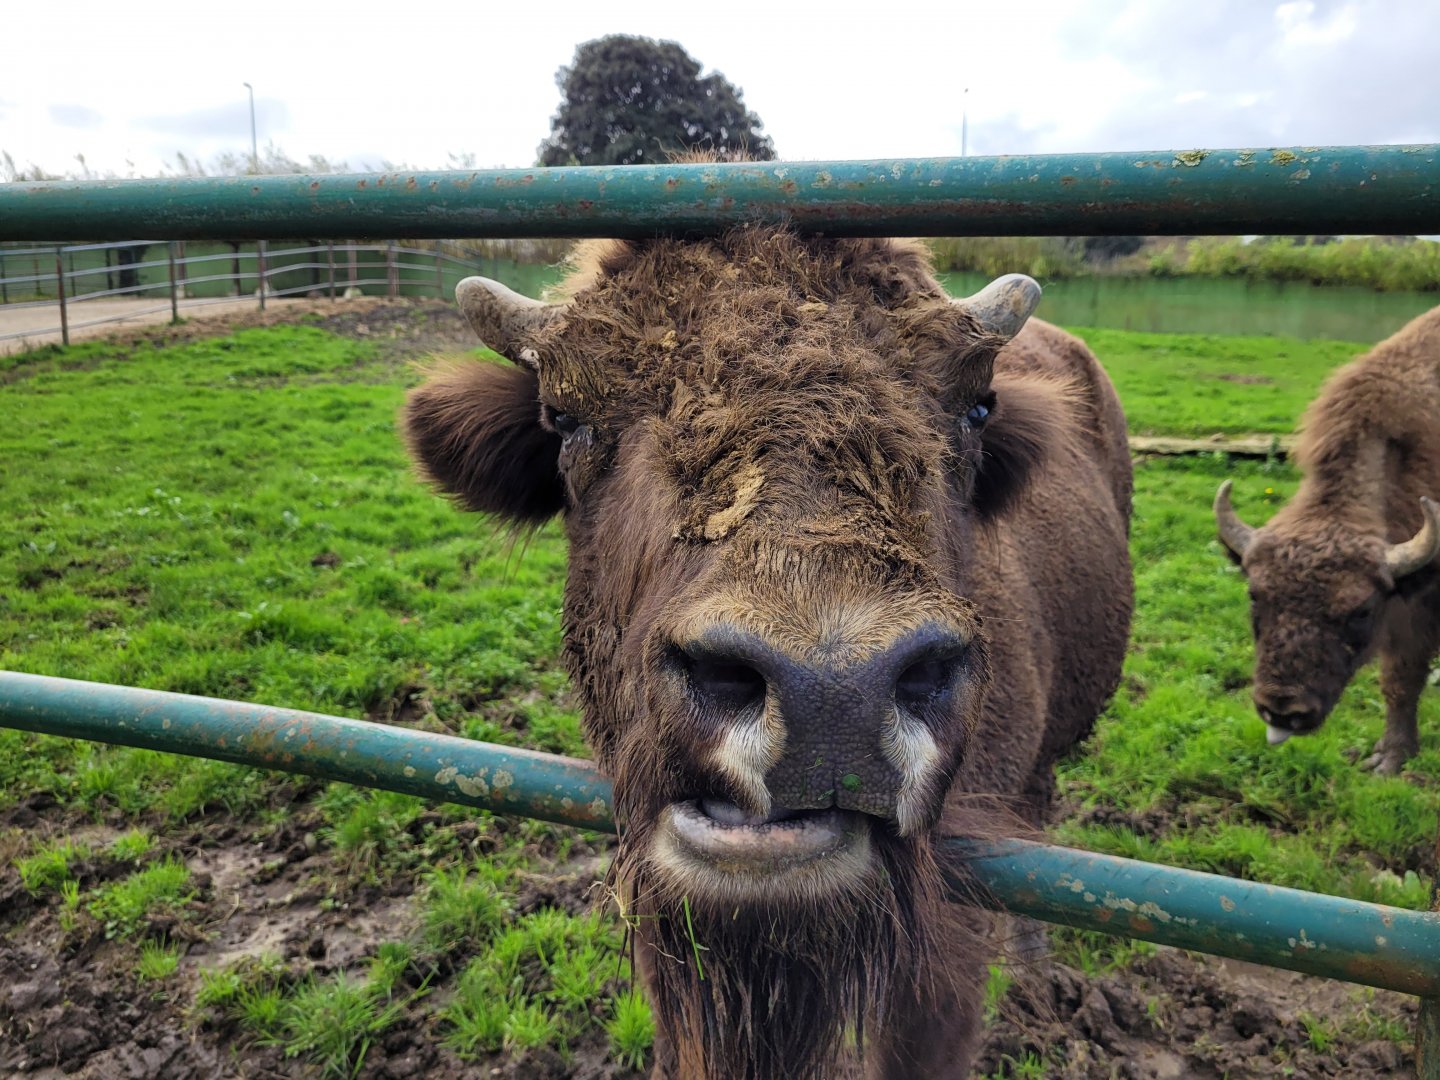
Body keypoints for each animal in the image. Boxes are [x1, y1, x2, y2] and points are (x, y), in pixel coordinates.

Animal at [1215, 305, 1440, 774]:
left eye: (1361, 609)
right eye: (1254, 595)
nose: (1284, 710)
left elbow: (1403, 673)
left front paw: (1390, 761)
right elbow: (1399, 678)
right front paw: (1388, 756)